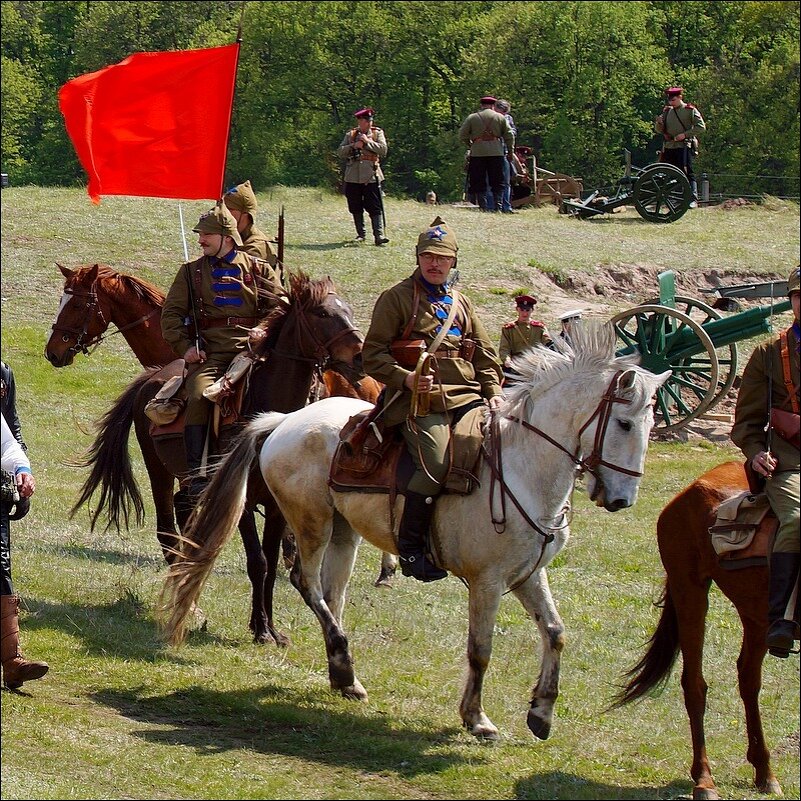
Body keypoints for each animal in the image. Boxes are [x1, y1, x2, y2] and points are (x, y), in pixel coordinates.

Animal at [70, 272, 364, 648]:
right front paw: (261, 627)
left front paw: (269, 628)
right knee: (167, 529)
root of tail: (151, 378)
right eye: (323, 313)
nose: (359, 356)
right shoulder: (242, 501)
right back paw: (188, 600)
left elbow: (269, 562)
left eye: (348, 310)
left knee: (185, 517)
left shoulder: (277, 507)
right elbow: (258, 562)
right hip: (159, 470)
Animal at [162, 322, 668, 740]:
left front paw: (541, 712)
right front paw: (476, 718)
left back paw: (343, 673)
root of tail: (285, 420)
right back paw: (343, 666)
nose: (621, 499)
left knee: (331, 595)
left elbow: (556, 632)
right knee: (306, 583)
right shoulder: (487, 582)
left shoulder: (528, 575)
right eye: (624, 423)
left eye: (649, 424)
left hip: (344, 532)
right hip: (311, 523)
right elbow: (480, 648)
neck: (522, 466)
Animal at [612, 456, 788, 800]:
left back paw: (764, 771)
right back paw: (705, 780)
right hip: (690, 592)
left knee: (748, 679)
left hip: (755, 613)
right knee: (694, 684)